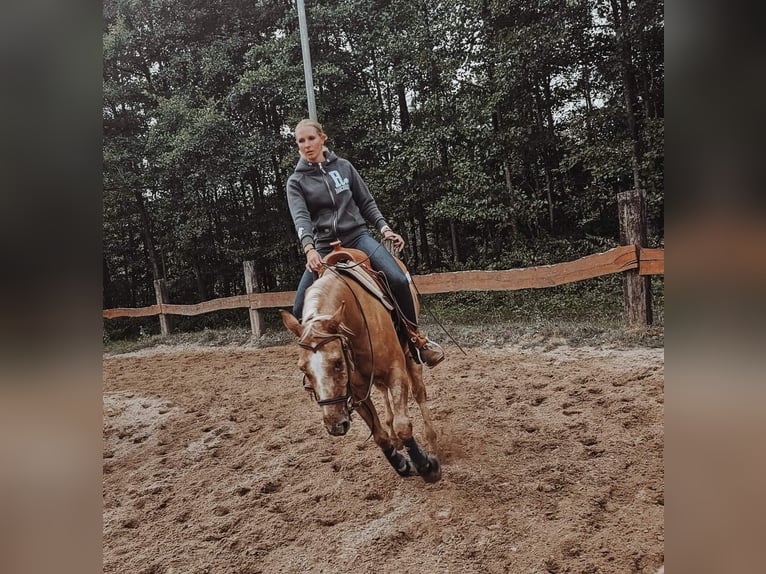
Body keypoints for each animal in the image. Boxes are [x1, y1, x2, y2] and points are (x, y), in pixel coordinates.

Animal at [280, 245, 440, 484]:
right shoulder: (355, 391)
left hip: (411, 356)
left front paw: (426, 466)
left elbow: (403, 425)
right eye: (303, 369)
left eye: (338, 362)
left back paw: (431, 444)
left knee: (419, 393)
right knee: (384, 394)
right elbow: (379, 435)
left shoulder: (396, 371)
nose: (335, 425)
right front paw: (401, 463)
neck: (355, 318)